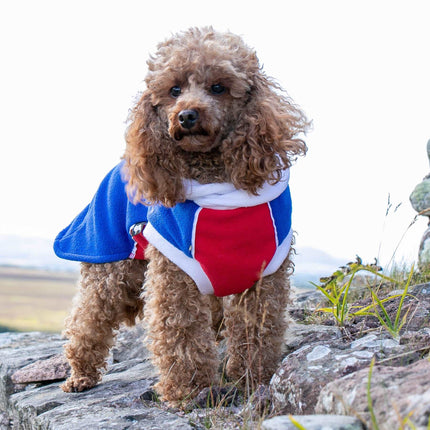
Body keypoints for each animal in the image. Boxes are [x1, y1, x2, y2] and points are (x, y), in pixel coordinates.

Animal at [55, 27, 308, 406]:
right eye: (174, 90)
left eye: (218, 87)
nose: (187, 115)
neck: (217, 179)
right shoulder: (175, 274)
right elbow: (182, 332)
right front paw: (189, 391)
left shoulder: (264, 275)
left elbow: (257, 330)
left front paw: (253, 379)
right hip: (110, 268)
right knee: (88, 318)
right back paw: (80, 375)